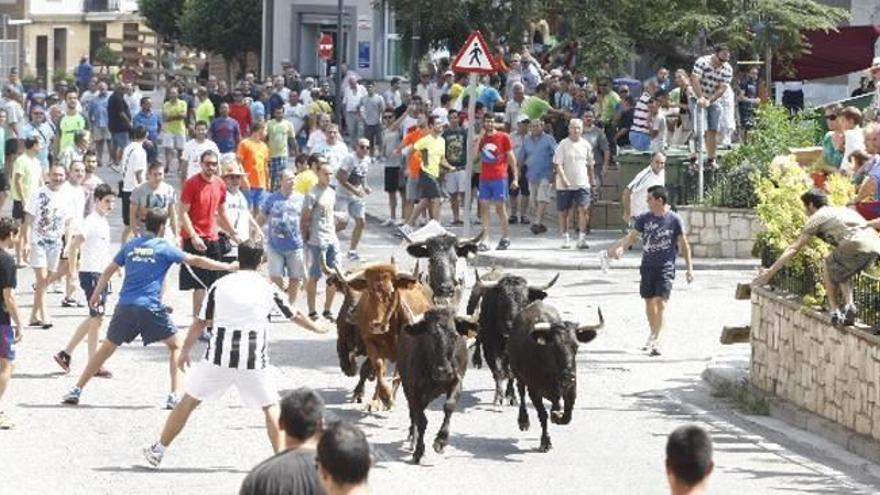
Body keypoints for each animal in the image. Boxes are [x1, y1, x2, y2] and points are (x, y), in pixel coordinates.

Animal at [334, 264, 434, 410]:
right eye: (369, 291)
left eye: (392, 292)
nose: (377, 325)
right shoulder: (372, 346)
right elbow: (379, 369)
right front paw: (384, 398)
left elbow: (394, 376)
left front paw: (385, 399)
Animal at [508, 300, 604, 456]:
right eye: (554, 347)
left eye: (576, 347)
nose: (569, 375)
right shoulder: (534, 390)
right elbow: (542, 415)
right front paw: (545, 442)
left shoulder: (571, 389)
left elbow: (567, 415)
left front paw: (557, 416)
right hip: (517, 374)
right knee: (521, 392)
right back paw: (523, 420)